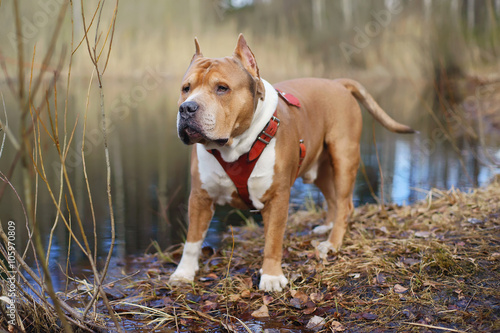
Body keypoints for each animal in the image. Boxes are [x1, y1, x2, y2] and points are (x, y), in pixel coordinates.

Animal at [170, 34, 412, 290]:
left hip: (344, 158)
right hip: (320, 170)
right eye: (186, 88)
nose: (187, 107)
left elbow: (273, 239)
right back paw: (327, 227)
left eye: (222, 88)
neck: (232, 148)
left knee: (345, 203)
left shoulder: (277, 198)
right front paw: (183, 273)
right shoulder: (200, 197)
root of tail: (337, 83)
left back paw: (332, 243)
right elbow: (192, 241)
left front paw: (271, 276)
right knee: (334, 199)